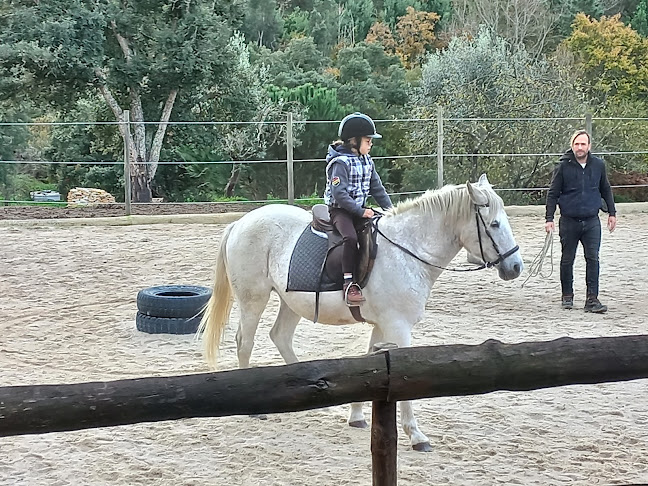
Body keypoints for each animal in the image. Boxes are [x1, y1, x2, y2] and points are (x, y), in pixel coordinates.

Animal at [200, 175, 524, 452]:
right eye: (494, 224)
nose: (516, 266)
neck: (407, 251)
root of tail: (241, 222)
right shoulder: (398, 327)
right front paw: (416, 435)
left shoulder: (383, 324)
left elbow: (370, 363)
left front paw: (356, 415)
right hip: (254, 299)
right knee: (245, 342)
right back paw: (254, 410)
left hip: (291, 302)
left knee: (280, 337)